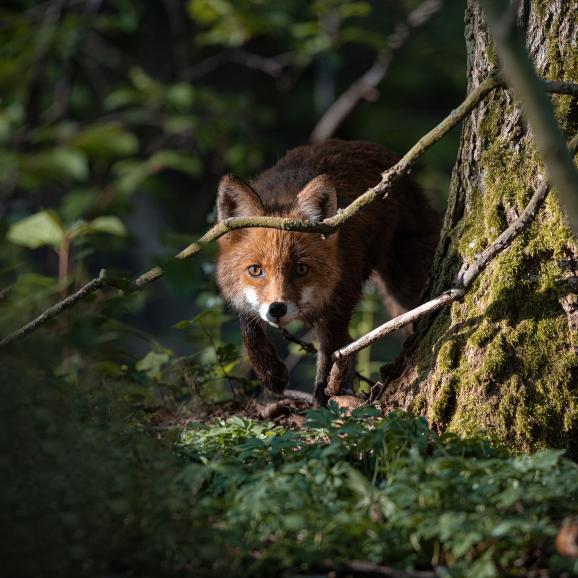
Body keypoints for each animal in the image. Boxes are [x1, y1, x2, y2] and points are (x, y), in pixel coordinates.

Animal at [214, 137, 438, 402]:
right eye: (255, 270)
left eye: (301, 269)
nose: (277, 309)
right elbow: (248, 326)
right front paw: (270, 373)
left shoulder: (340, 299)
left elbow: (330, 357)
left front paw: (322, 405)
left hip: (404, 281)